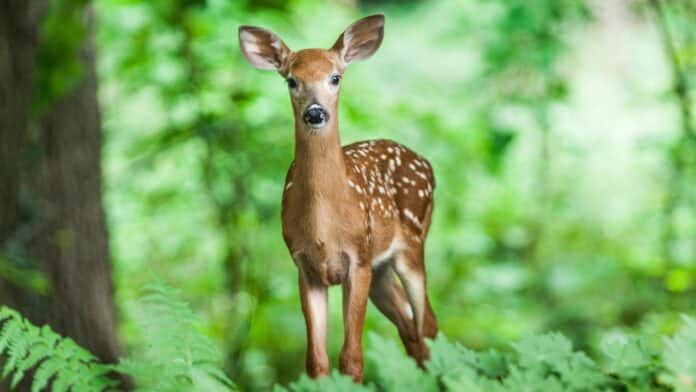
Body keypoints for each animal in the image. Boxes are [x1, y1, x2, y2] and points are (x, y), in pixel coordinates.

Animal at [239, 13, 436, 382]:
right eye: (291, 80)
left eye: (335, 77)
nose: (315, 113)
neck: (323, 227)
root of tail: (425, 161)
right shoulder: (305, 266)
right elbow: (316, 361)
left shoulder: (357, 259)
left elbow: (352, 357)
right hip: (381, 269)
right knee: (410, 328)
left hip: (412, 245)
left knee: (427, 323)